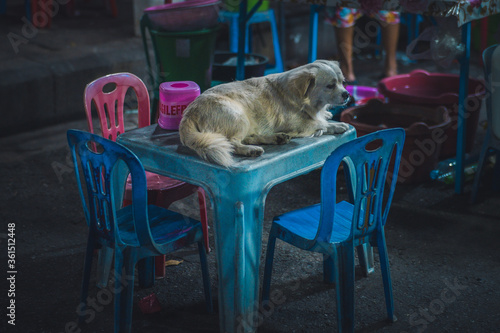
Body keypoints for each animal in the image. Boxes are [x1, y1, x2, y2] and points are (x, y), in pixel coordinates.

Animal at [181, 59, 352, 166]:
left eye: (343, 82)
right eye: (330, 86)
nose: (347, 94)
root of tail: (189, 113)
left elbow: (320, 117)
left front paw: (327, 115)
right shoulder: (298, 125)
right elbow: (319, 124)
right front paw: (336, 125)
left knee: (248, 138)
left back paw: (276, 138)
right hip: (239, 116)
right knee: (232, 143)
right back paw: (251, 150)